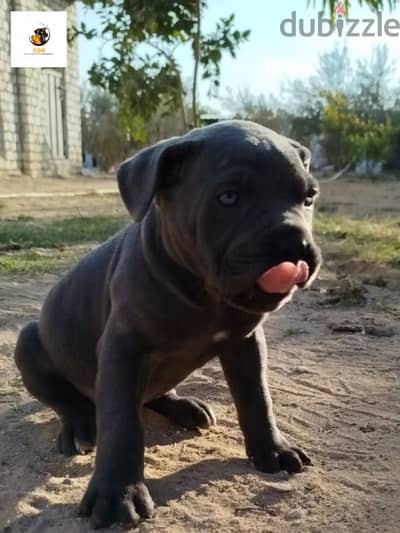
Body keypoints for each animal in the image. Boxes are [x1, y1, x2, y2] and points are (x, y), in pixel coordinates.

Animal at [14, 119, 324, 528]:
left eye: (309, 199)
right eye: (228, 197)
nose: (294, 242)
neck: (204, 293)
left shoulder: (245, 343)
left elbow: (258, 398)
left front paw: (272, 450)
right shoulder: (123, 348)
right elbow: (122, 423)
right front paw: (117, 495)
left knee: (156, 392)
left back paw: (187, 408)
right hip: (28, 341)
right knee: (68, 399)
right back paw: (80, 425)